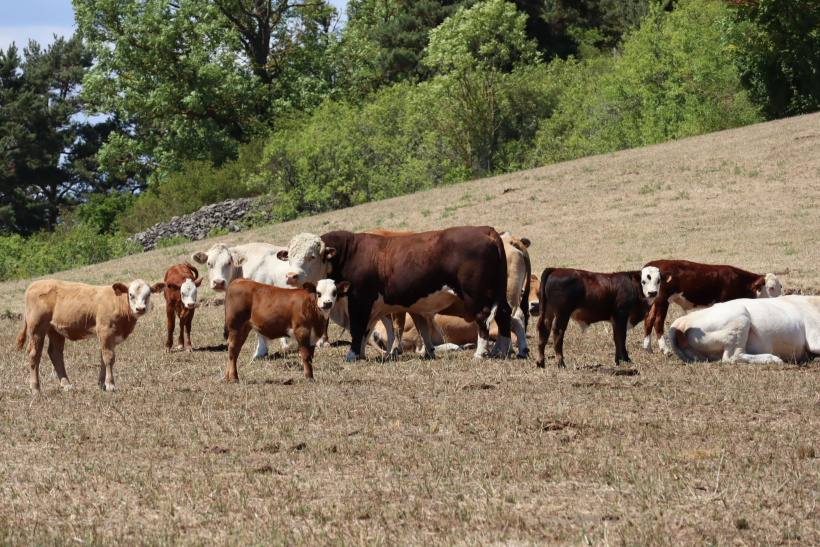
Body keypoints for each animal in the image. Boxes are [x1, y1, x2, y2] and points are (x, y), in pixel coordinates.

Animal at [276, 227, 510, 360]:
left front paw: (352, 354)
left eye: (312, 256)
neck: (347, 254)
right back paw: (501, 350)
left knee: (483, 318)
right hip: (496, 291)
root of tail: (485, 230)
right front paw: (361, 353)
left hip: (475, 294)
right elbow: (365, 330)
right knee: (504, 314)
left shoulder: (359, 300)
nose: (291, 276)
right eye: (290, 255)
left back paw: (481, 353)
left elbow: (358, 329)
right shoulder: (370, 307)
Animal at [532, 266, 660, 368]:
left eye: (658, 280)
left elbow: (617, 338)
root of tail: (556, 269)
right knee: (558, 332)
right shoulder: (621, 315)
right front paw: (625, 359)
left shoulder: (616, 320)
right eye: (644, 281)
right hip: (562, 313)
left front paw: (618, 360)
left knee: (544, 331)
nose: (652, 293)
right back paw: (560, 362)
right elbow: (621, 337)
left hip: (548, 312)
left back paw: (540, 362)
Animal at [640, 262, 780, 356]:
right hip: (662, 301)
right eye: (771, 287)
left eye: (780, 286)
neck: (738, 281)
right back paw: (665, 349)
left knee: (649, 320)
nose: (780, 298)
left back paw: (648, 348)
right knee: (658, 322)